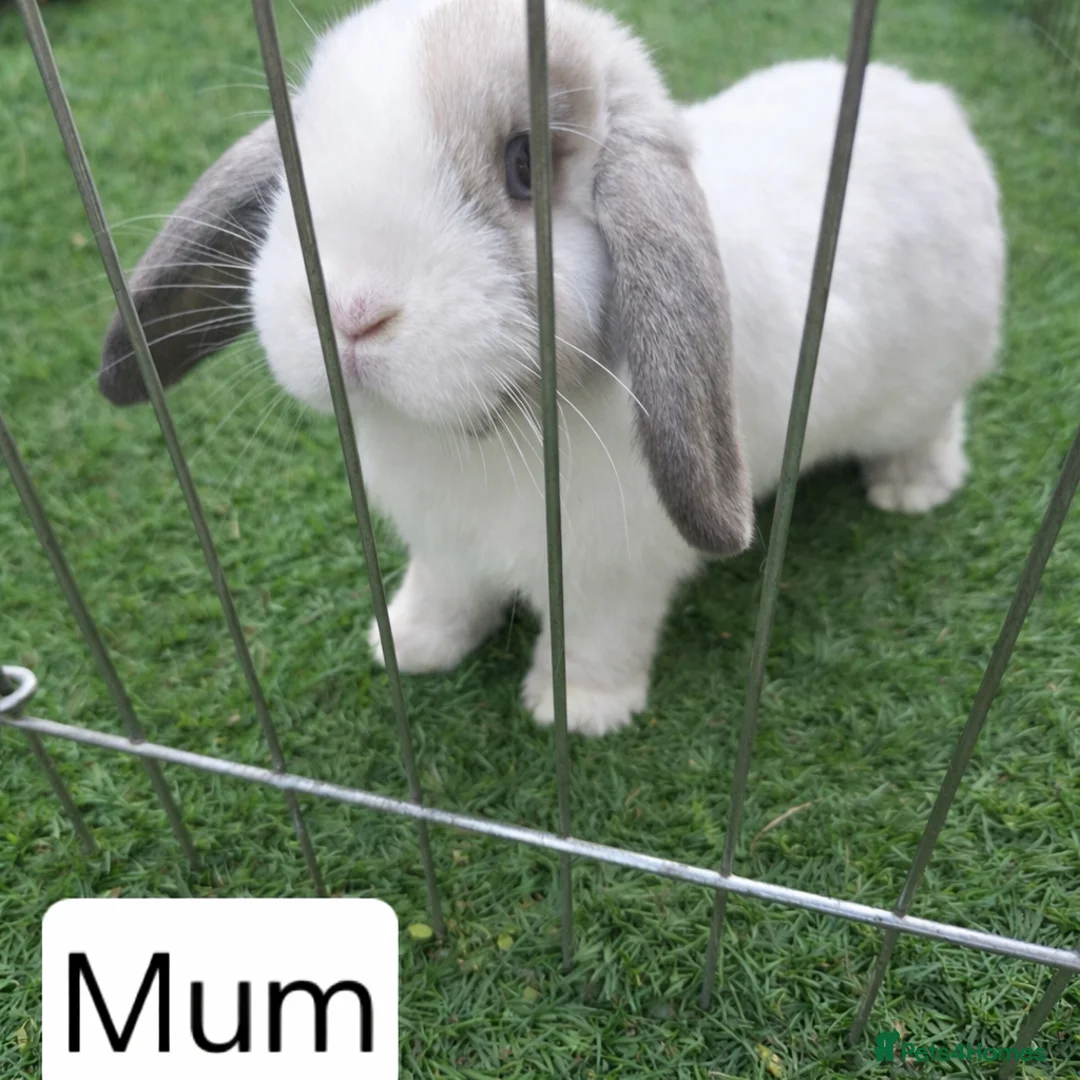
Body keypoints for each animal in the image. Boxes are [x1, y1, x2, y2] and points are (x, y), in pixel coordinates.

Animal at [100, 0, 1005, 736]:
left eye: (524, 164)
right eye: (299, 159)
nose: (350, 312)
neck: (489, 432)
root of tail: (930, 104)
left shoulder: (615, 574)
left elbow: (597, 641)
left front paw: (578, 714)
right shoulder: (445, 548)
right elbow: (445, 595)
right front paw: (407, 647)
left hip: (931, 379)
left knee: (940, 422)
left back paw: (911, 489)